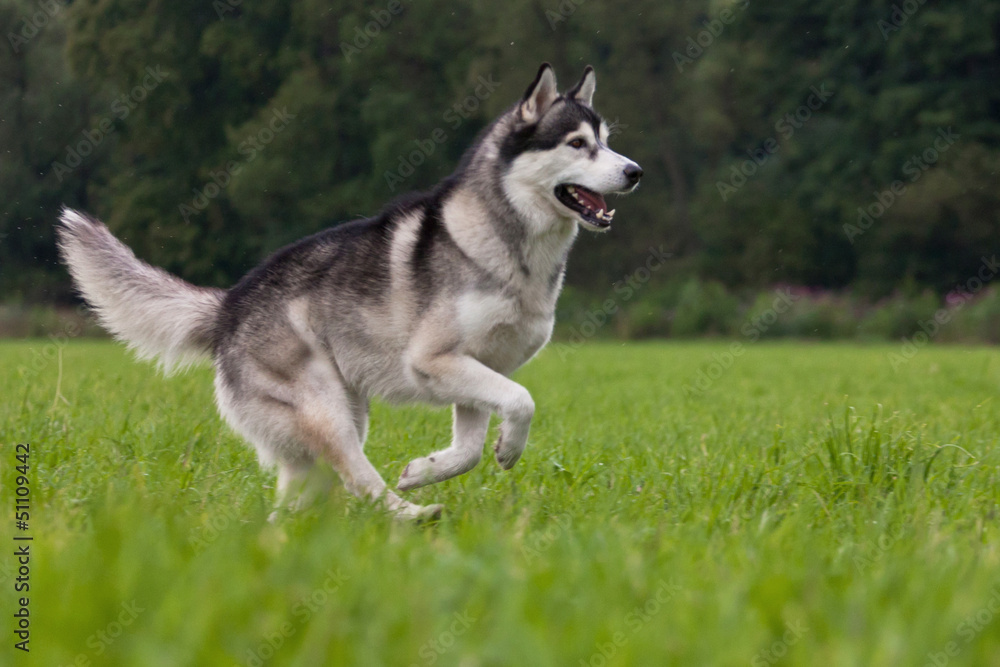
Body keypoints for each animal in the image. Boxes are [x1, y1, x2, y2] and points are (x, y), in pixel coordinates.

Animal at [56, 64, 640, 520]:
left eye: (608, 141)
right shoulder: (434, 361)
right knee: (359, 479)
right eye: (578, 144)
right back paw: (411, 515)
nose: (634, 170)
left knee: (296, 501)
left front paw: (426, 468)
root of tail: (229, 303)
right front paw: (507, 450)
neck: (511, 249)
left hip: (336, 420)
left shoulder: (474, 368)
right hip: (329, 412)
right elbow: (522, 400)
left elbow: (470, 448)